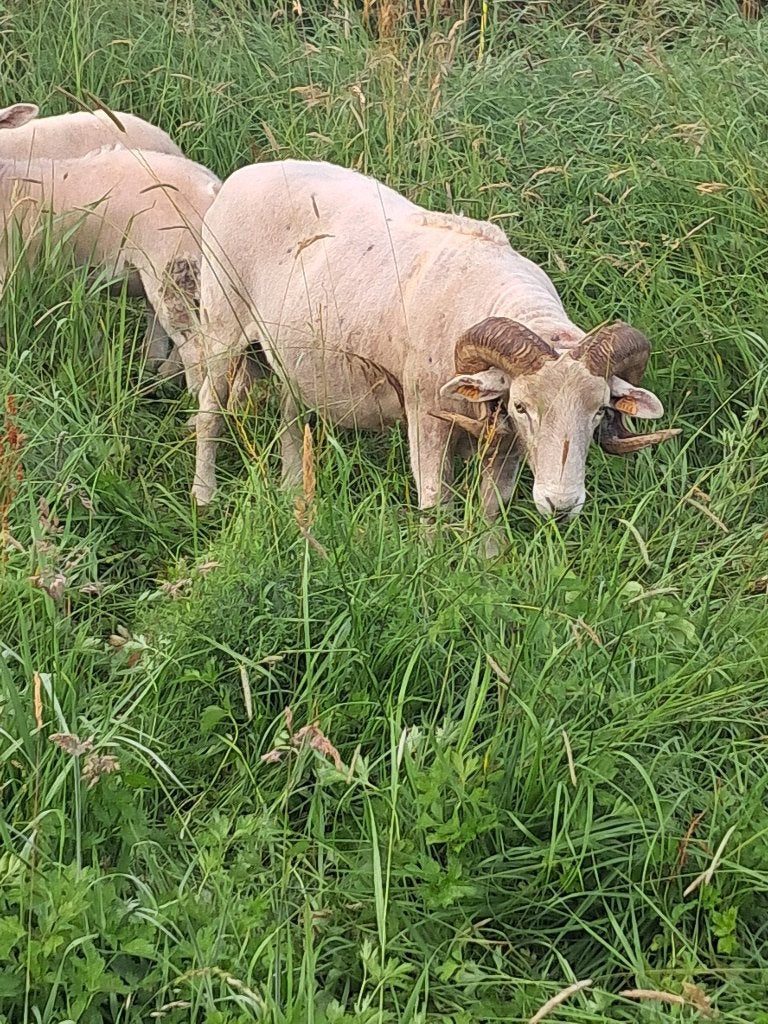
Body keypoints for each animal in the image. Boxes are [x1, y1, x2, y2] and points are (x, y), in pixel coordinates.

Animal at [191, 159, 679, 519]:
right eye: (523, 406)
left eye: (599, 411)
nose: (561, 506)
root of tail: (245, 174)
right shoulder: (427, 417)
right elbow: (433, 501)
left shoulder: (505, 439)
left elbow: (492, 506)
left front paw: (489, 566)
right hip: (222, 325)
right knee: (209, 412)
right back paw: (204, 496)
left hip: (293, 355)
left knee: (291, 416)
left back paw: (294, 493)